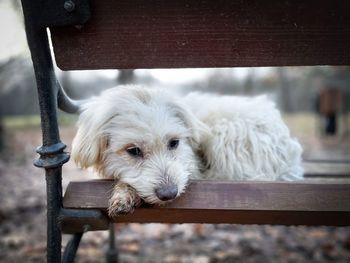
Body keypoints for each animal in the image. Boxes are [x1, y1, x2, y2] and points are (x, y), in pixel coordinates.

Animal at [70, 85, 300, 218]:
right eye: (133, 150)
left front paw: (125, 193)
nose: (169, 194)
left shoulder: (191, 167)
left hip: (226, 135)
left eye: (174, 143)